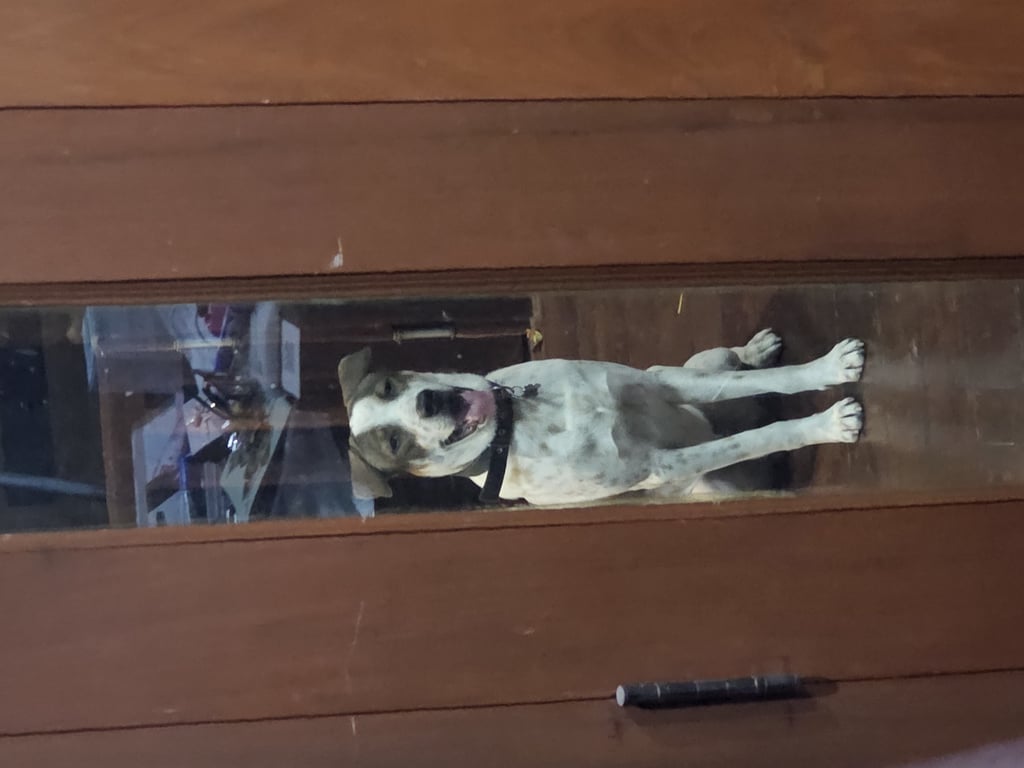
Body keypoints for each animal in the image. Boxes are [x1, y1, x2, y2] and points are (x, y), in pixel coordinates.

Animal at [338, 329, 864, 506]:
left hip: (691, 365)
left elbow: (783, 380)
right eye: (394, 444)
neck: (518, 420)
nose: (427, 403)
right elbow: (758, 438)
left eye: (389, 385)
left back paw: (755, 349)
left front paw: (830, 368)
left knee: (733, 369)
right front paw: (828, 425)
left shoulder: (661, 384)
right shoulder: (662, 465)